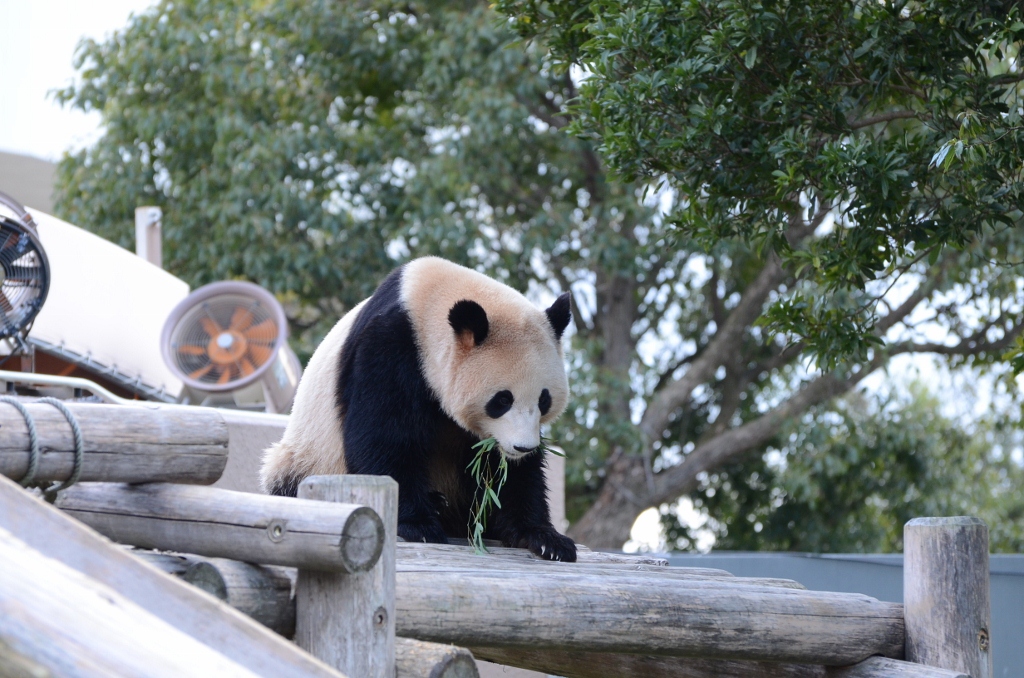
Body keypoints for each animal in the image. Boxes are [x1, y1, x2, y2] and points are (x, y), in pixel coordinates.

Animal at [260, 255, 581, 561]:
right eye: (502, 400)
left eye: (543, 400)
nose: (523, 447)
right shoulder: (390, 347)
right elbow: (384, 437)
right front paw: (419, 525)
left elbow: (507, 475)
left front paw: (545, 539)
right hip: (309, 457)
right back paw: (436, 505)